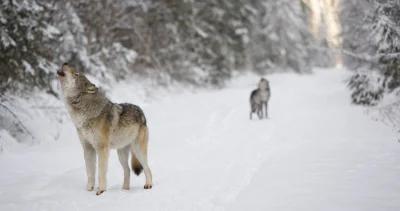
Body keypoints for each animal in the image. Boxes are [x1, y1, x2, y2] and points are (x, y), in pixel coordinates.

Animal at [57, 63, 153, 195]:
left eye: (76, 74)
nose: (65, 63)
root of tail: (141, 112)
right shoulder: (88, 149)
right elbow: (90, 173)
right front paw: (89, 190)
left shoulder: (102, 149)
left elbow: (101, 172)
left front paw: (101, 191)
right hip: (121, 154)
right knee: (127, 170)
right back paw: (124, 190)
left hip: (138, 150)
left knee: (147, 168)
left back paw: (148, 185)